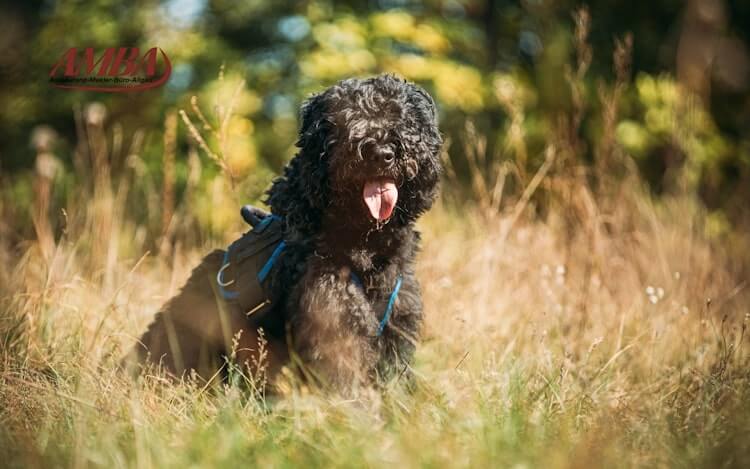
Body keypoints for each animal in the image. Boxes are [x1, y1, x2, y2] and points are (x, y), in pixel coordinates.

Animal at [132, 75, 444, 392]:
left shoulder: (397, 323)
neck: (366, 245)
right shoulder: (336, 323)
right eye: (347, 118)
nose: (381, 153)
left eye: (400, 115)